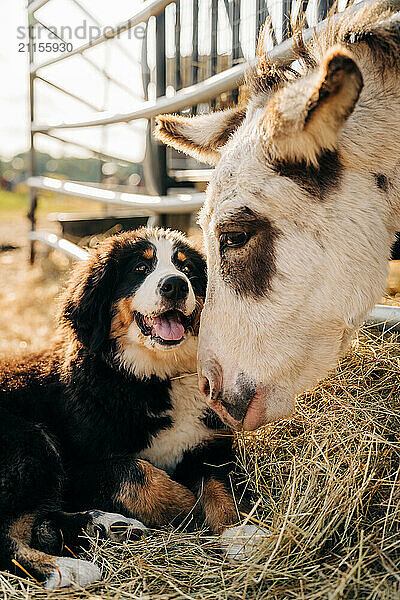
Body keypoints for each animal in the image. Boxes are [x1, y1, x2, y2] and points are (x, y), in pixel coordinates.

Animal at [0, 229, 256, 592]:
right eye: (140, 268)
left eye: (188, 270)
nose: (175, 285)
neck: (154, 376)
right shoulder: (79, 468)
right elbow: (137, 473)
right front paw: (188, 508)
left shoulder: (209, 443)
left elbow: (220, 484)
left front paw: (239, 532)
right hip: (30, 441)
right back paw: (66, 569)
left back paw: (106, 525)